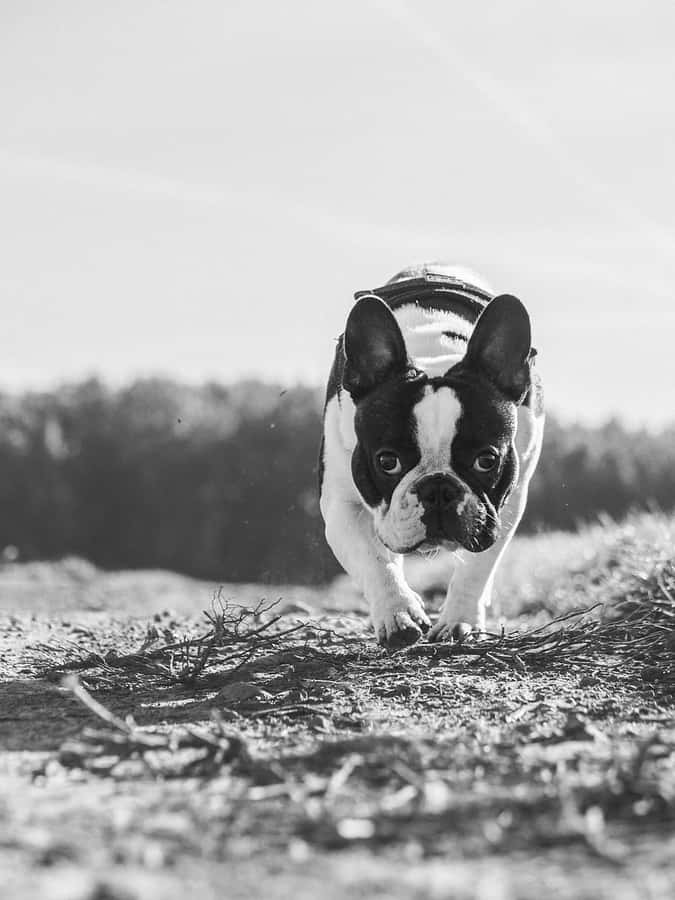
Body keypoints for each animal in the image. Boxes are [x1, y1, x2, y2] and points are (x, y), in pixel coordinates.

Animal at [320, 260, 548, 648]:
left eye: (486, 460)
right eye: (387, 461)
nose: (438, 488)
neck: (432, 351)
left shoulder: (504, 505)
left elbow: (478, 567)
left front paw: (460, 620)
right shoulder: (341, 505)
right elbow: (374, 560)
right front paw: (398, 613)